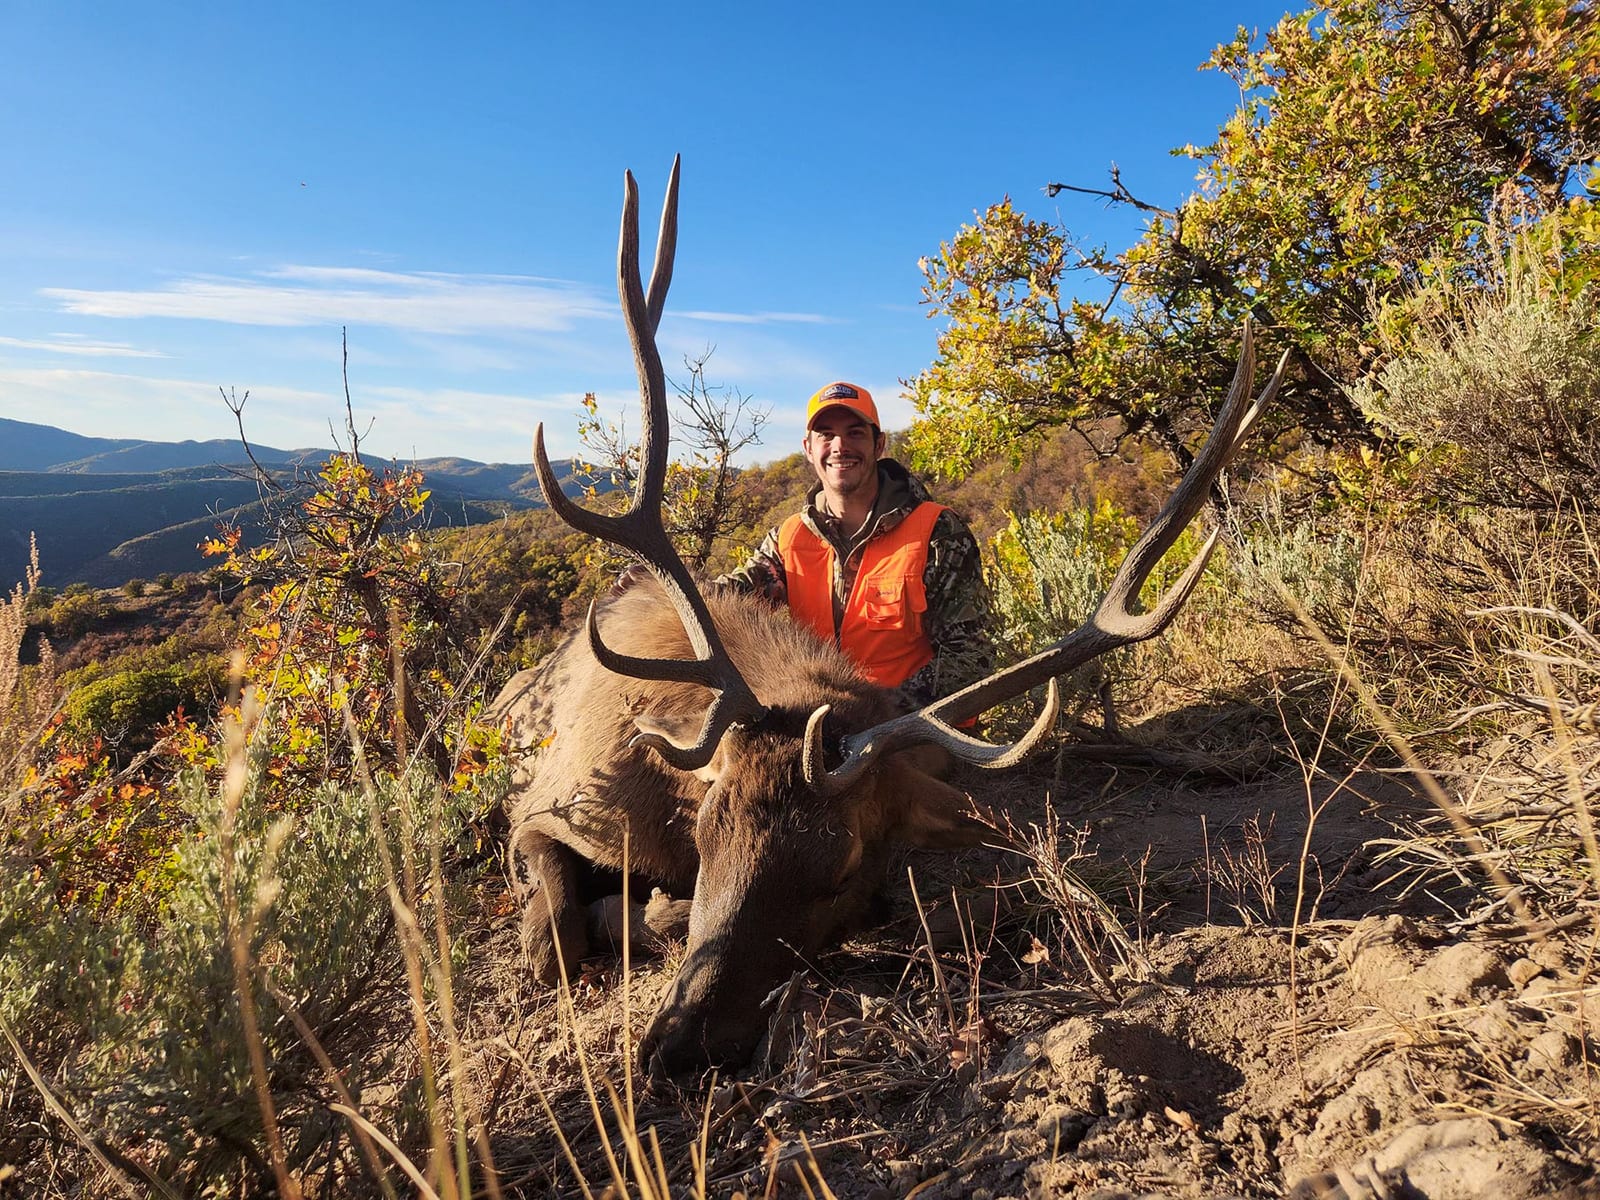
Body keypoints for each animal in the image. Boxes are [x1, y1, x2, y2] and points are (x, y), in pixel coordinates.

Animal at [491, 157, 1286, 1083]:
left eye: (842, 869)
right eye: (711, 833)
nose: (675, 1046)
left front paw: (652, 914)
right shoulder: (545, 805)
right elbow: (553, 933)